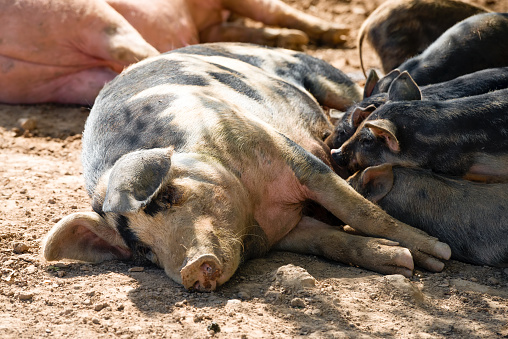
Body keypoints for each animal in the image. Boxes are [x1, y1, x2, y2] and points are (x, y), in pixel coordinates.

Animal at [42, 43, 448, 292]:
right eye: (143, 250)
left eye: (170, 195)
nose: (190, 269)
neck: (256, 210)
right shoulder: (285, 233)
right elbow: (332, 241)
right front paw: (402, 262)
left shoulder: (289, 155)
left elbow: (361, 211)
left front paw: (437, 256)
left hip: (323, 76)